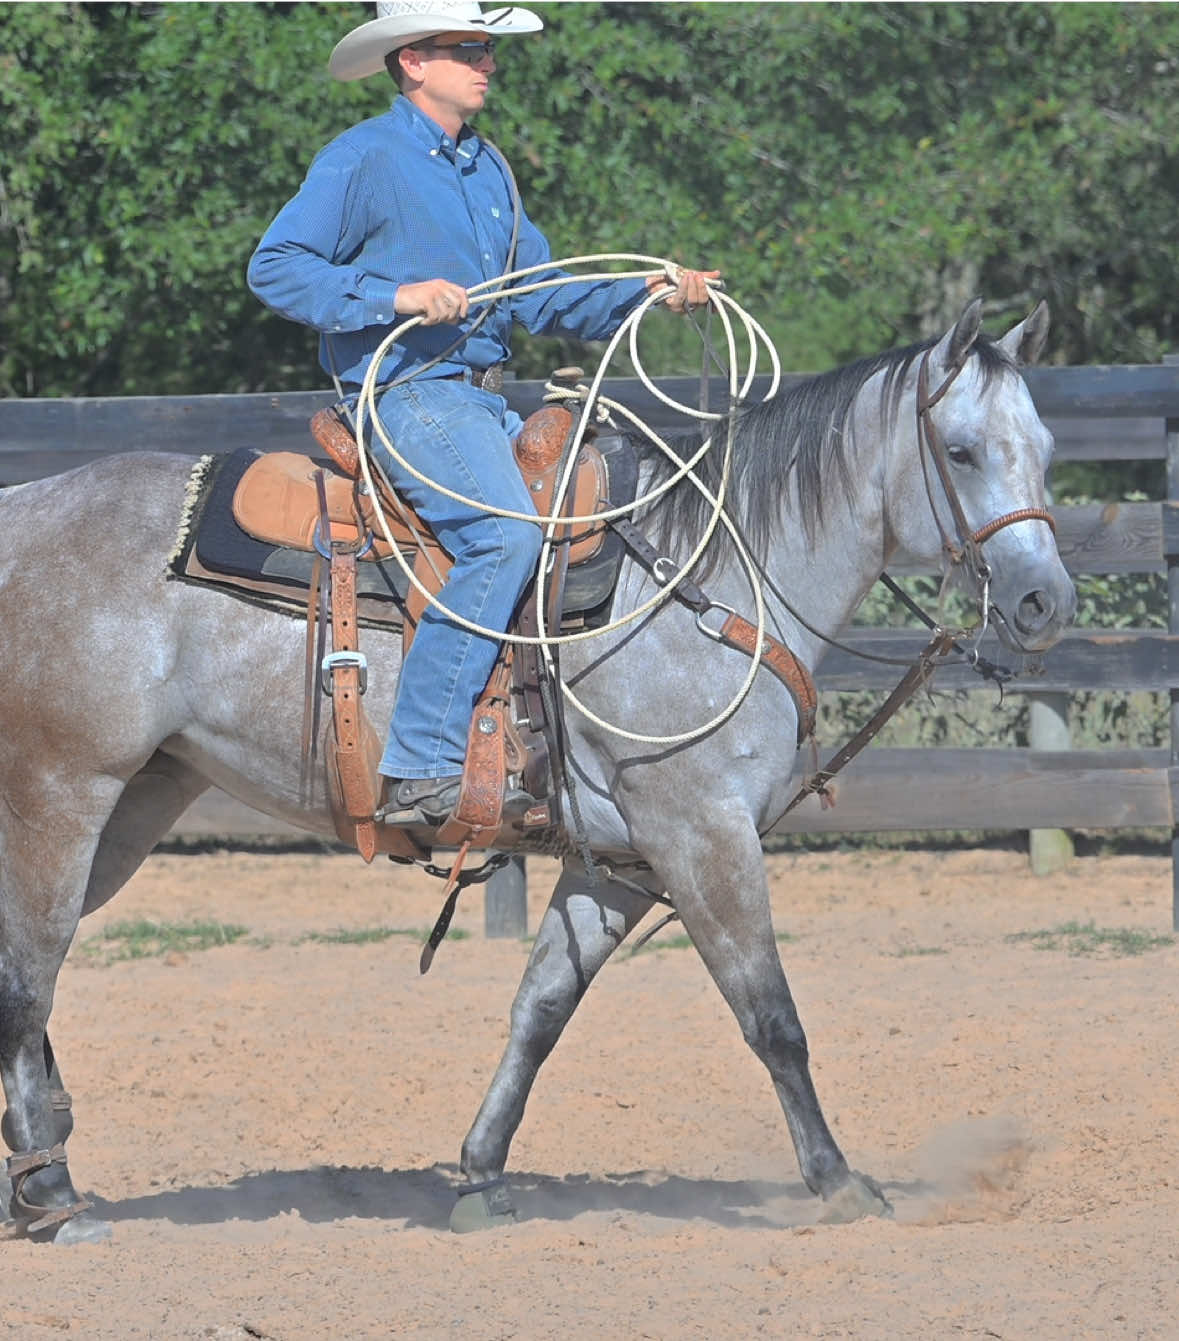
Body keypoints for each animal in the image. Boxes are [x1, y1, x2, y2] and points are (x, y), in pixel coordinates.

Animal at [0, 299, 1075, 1242]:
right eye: (962, 450)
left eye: (1045, 449)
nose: (1043, 603)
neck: (709, 581)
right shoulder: (702, 833)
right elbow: (770, 1014)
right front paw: (839, 1182)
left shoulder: (620, 864)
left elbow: (540, 1011)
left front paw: (480, 1177)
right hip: (62, 793)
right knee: (29, 975)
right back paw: (51, 1193)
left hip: (139, 799)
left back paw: (39, 1164)